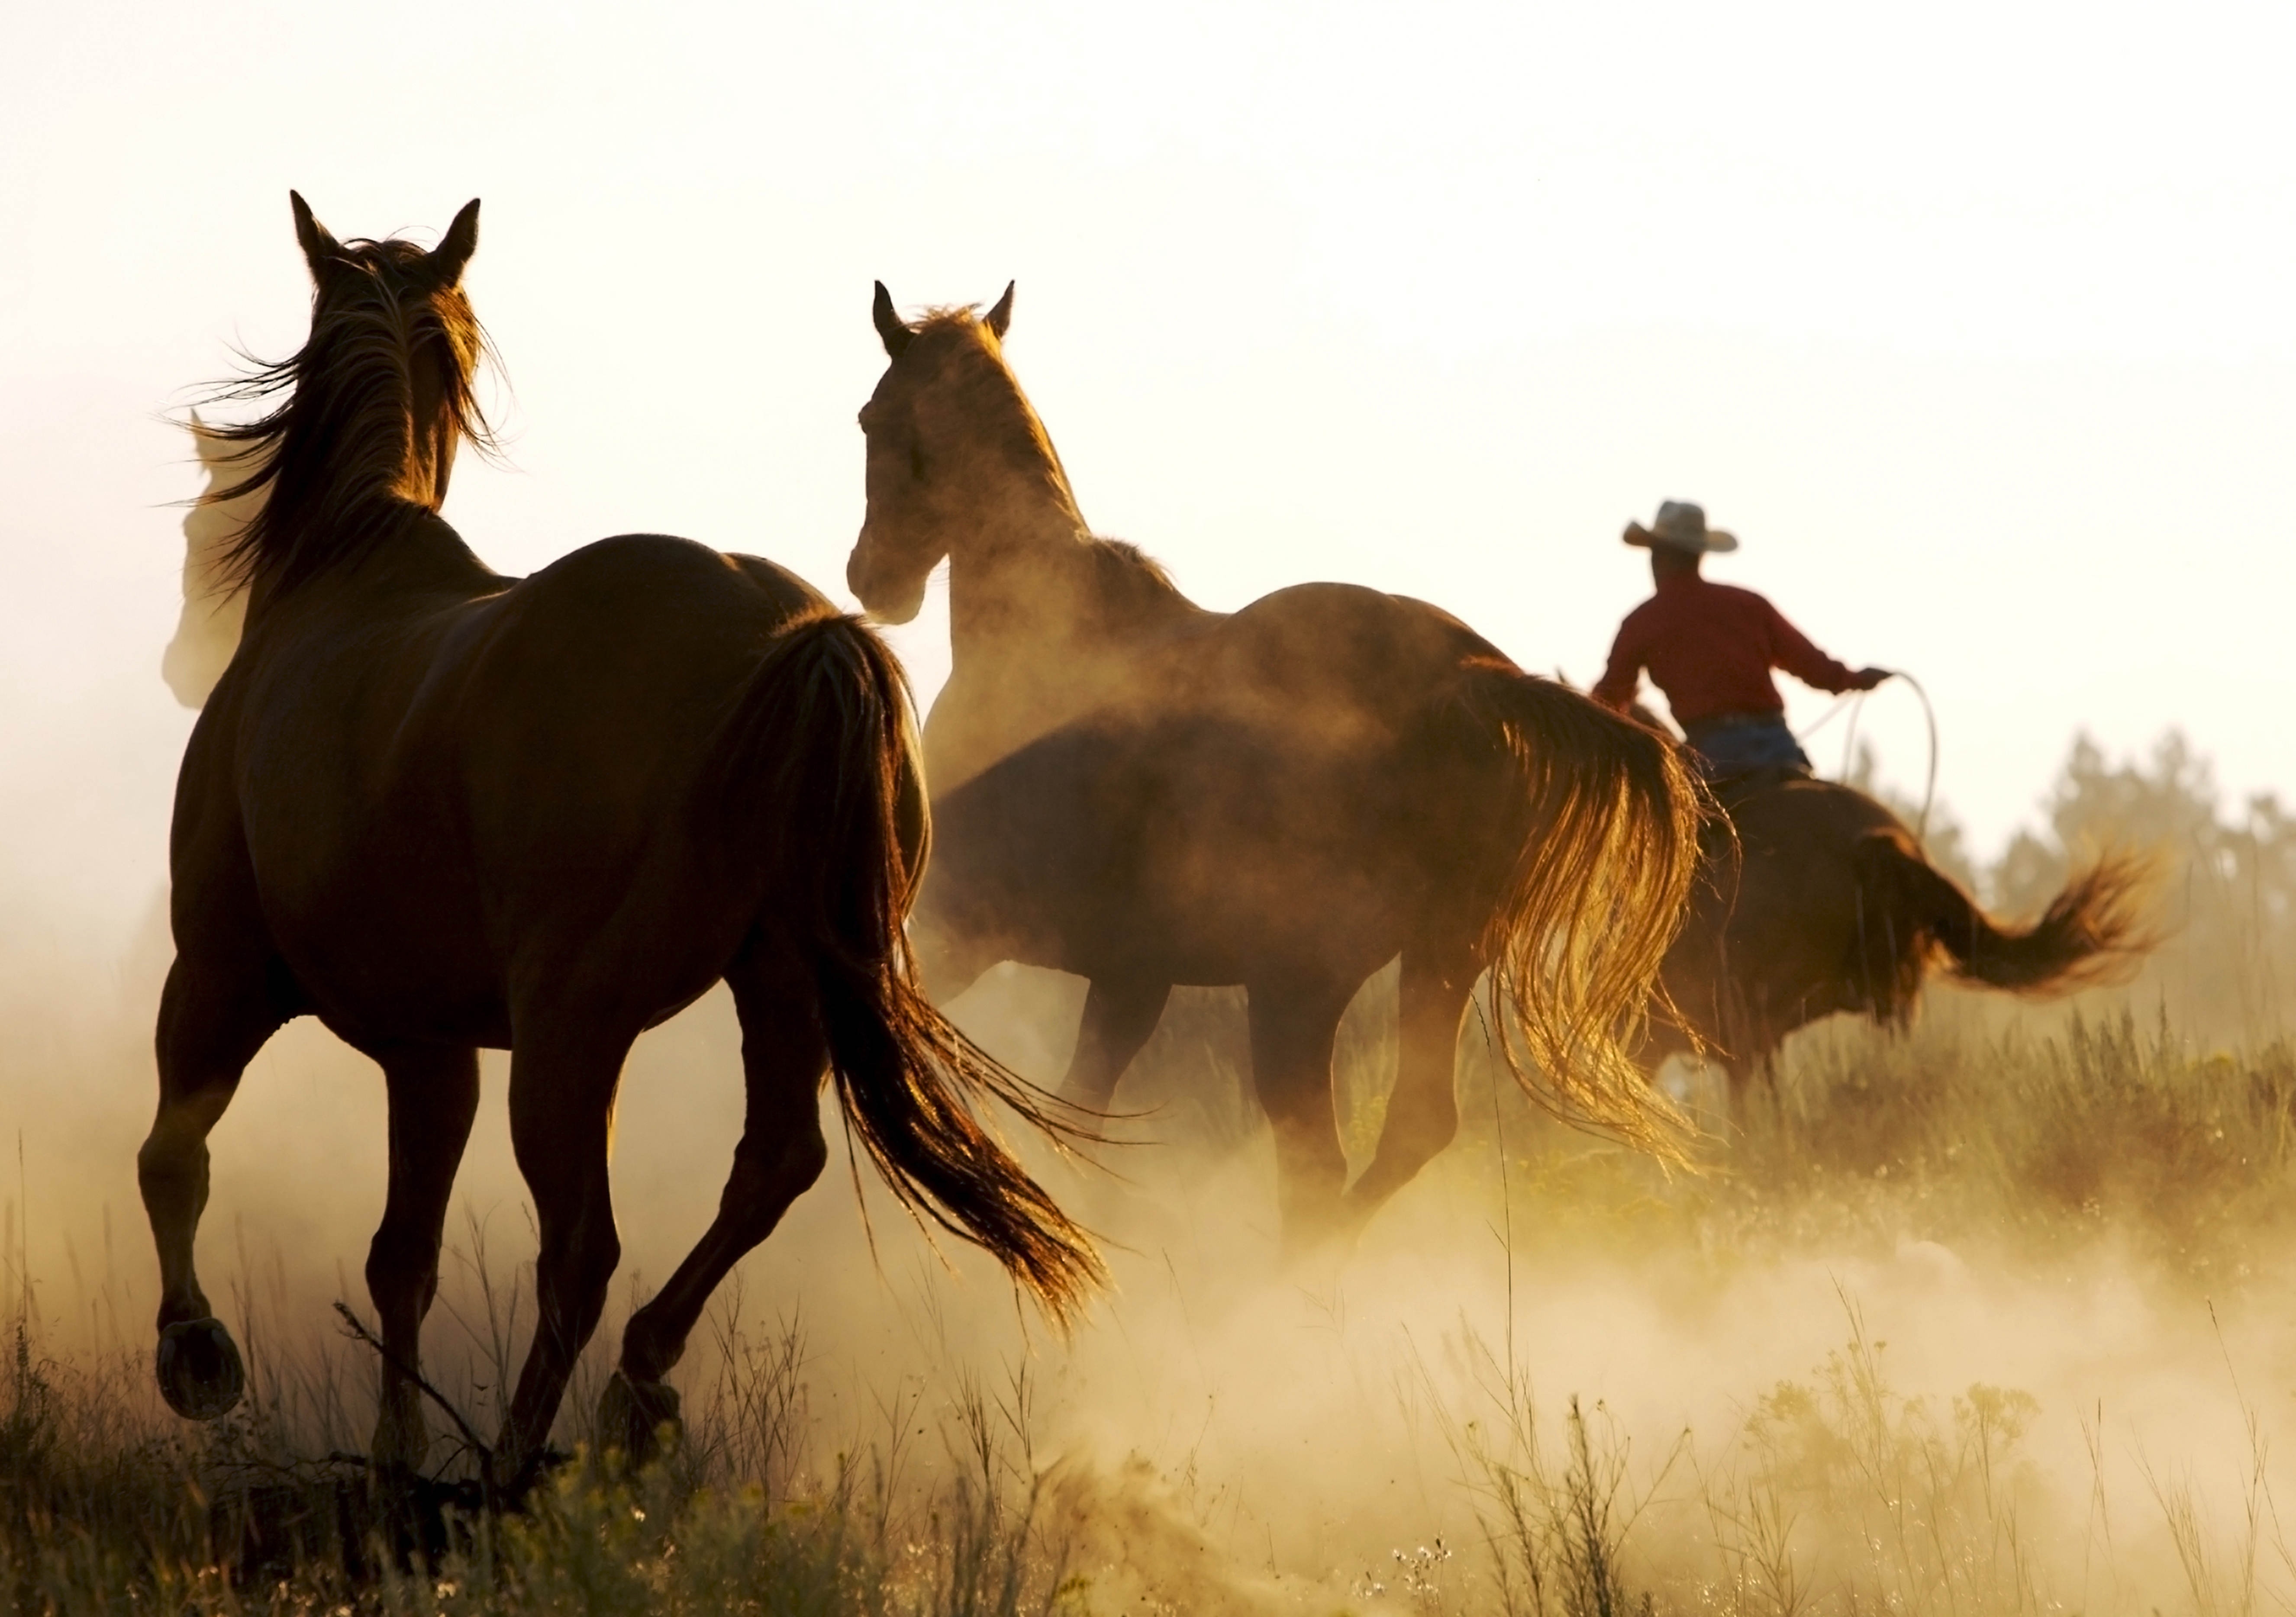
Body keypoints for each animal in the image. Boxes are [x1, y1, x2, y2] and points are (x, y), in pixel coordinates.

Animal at [139, 195, 1106, 1488]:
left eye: (210, 523)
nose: (179, 660)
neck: (342, 577)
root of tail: (794, 637)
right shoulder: (428, 1049)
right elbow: (401, 1256)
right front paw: (396, 1455)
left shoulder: (219, 975)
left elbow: (173, 1158)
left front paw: (198, 1353)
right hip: (776, 985)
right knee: (767, 1170)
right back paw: (636, 1388)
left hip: (570, 1032)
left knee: (582, 1248)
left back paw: (513, 1464)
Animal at [845, 281, 1708, 1249]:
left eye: (871, 417)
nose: (873, 579)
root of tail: (1466, 679)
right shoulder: (1131, 975)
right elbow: (1081, 1115)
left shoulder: (958, 928)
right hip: (1435, 958)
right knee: (1403, 1134)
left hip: (1299, 989)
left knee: (1318, 1164)